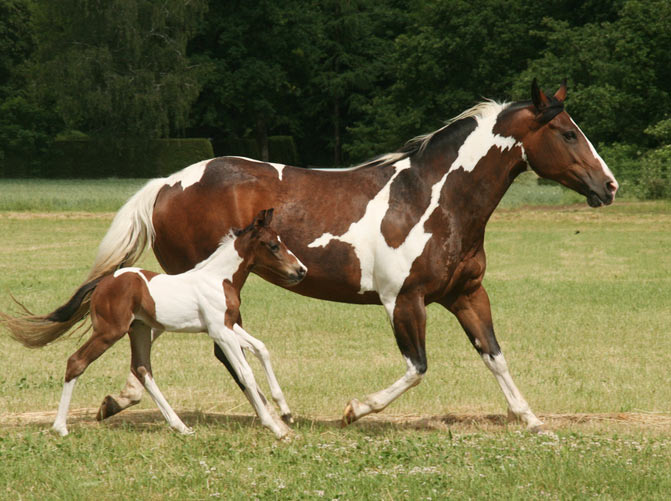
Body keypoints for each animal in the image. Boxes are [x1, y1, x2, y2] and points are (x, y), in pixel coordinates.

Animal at [1, 209, 307, 438]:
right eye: (274, 246)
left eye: (281, 241)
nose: (301, 270)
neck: (219, 278)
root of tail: (104, 282)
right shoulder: (220, 331)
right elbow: (245, 373)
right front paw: (274, 427)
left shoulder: (228, 326)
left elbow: (261, 348)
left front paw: (285, 411)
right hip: (110, 331)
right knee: (77, 362)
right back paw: (60, 427)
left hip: (139, 329)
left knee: (142, 368)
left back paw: (180, 426)